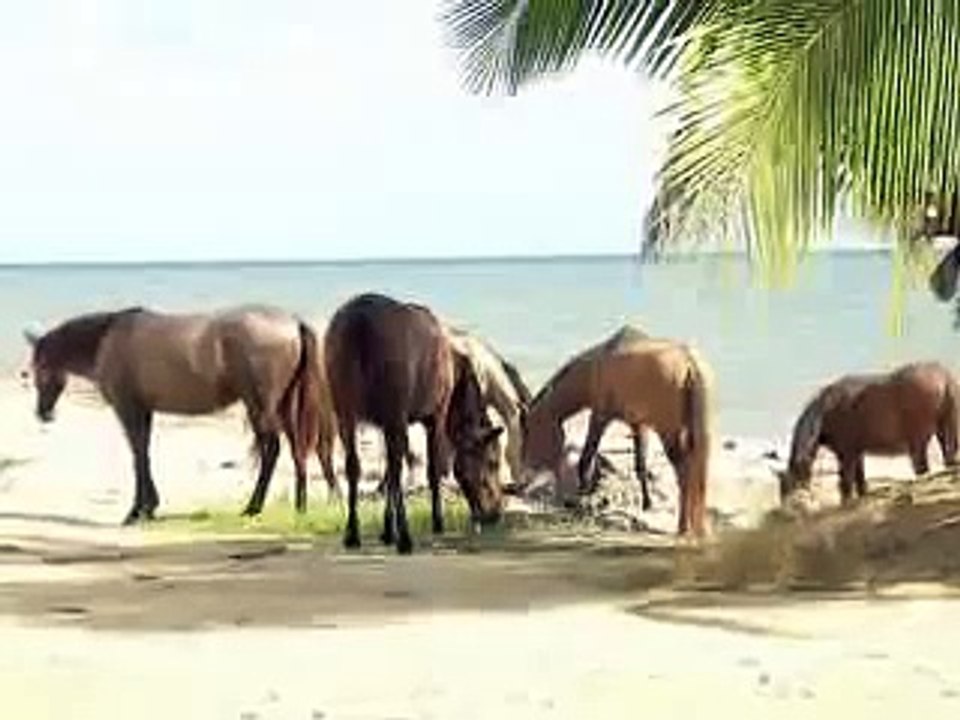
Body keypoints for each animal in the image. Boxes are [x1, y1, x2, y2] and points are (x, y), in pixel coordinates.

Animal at [24, 305, 327, 524]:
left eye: (38, 368)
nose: (43, 414)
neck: (107, 339)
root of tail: (293, 323)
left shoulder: (128, 410)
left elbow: (137, 455)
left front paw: (137, 511)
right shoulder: (144, 411)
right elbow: (143, 453)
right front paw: (149, 507)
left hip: (261, 407)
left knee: (272, 450)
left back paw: (253, 507)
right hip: (286, 406)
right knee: (298, 450)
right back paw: (300, 508)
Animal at [324, 292, 505, 554]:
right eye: (493, 462)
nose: (496, 513)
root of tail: (358, 323)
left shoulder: (387, 422)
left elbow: (388, 471)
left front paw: (387, 530)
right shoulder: (434, 416)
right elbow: (432, 470)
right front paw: (436, 522)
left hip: (345, 412)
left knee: (354, 467)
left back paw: (352, 534)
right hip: (393, 409)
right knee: (396, 470)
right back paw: (405, 538)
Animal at [523, 325, 713, 536]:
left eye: (529, 431)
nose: (525, 470)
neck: (595, 368)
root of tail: (689, 364)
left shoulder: (599, 417)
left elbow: (586, 459)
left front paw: (581, 499)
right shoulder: (639, 425)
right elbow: (640, 466)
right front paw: (647, 504)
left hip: (669, 433)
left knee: (684, 473)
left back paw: (683, 527)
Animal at [778, 361, 960, 505]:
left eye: (790, 485)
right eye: (781, 489)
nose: (784, 515)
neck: (824, 412)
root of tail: (943, 376)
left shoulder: (846, 454)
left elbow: (845, 481)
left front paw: (845, 503)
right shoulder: (856, 452)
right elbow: (860, 479)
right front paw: (861, 497)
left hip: (919, 441)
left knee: (922, 467)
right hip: (945, 429)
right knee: (948, 458)